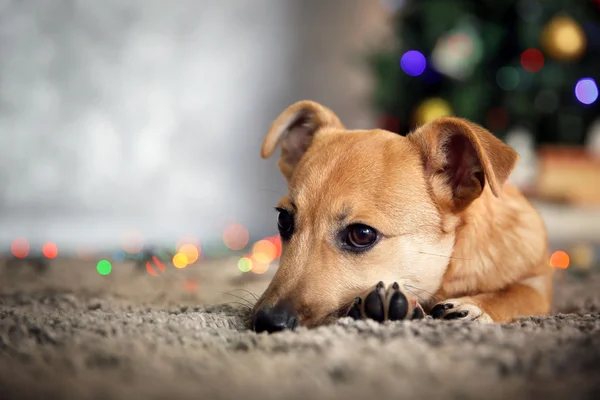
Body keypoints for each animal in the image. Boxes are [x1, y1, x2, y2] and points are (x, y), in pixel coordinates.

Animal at [250, 101, 552, 334]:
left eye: (362, 234)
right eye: (283, 220)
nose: (267, 323)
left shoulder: (539, 282)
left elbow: (516, 294)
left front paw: (474, 306)